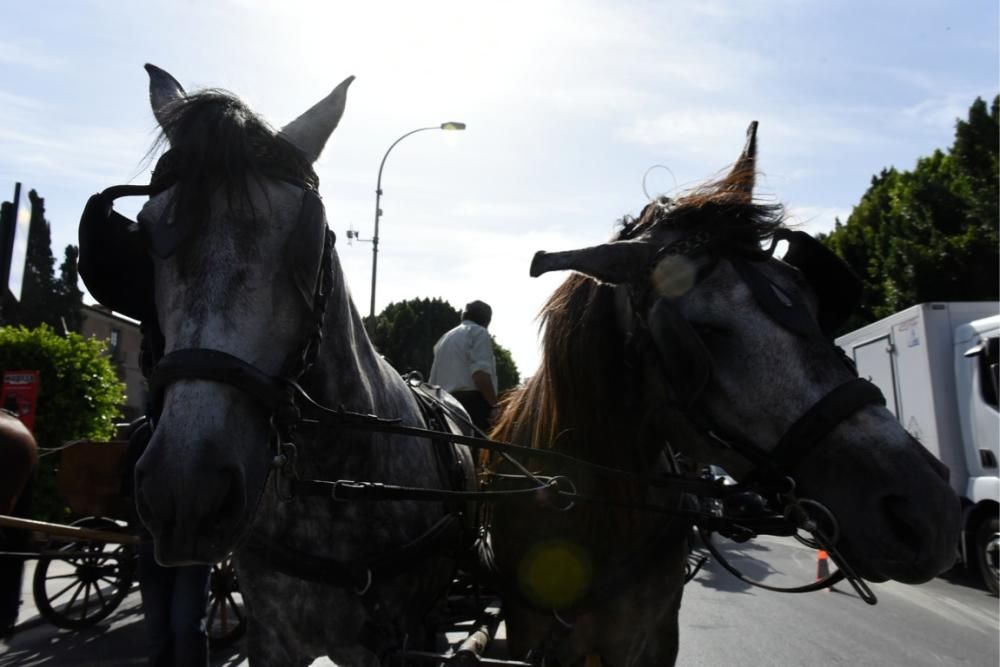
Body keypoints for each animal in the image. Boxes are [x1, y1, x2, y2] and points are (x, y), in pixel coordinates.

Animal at [95, 66, 474, 664]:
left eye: (306, 238)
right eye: (146, 233)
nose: (186, 493)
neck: (333, 484)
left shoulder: (388, 641)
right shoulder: (271, 636)